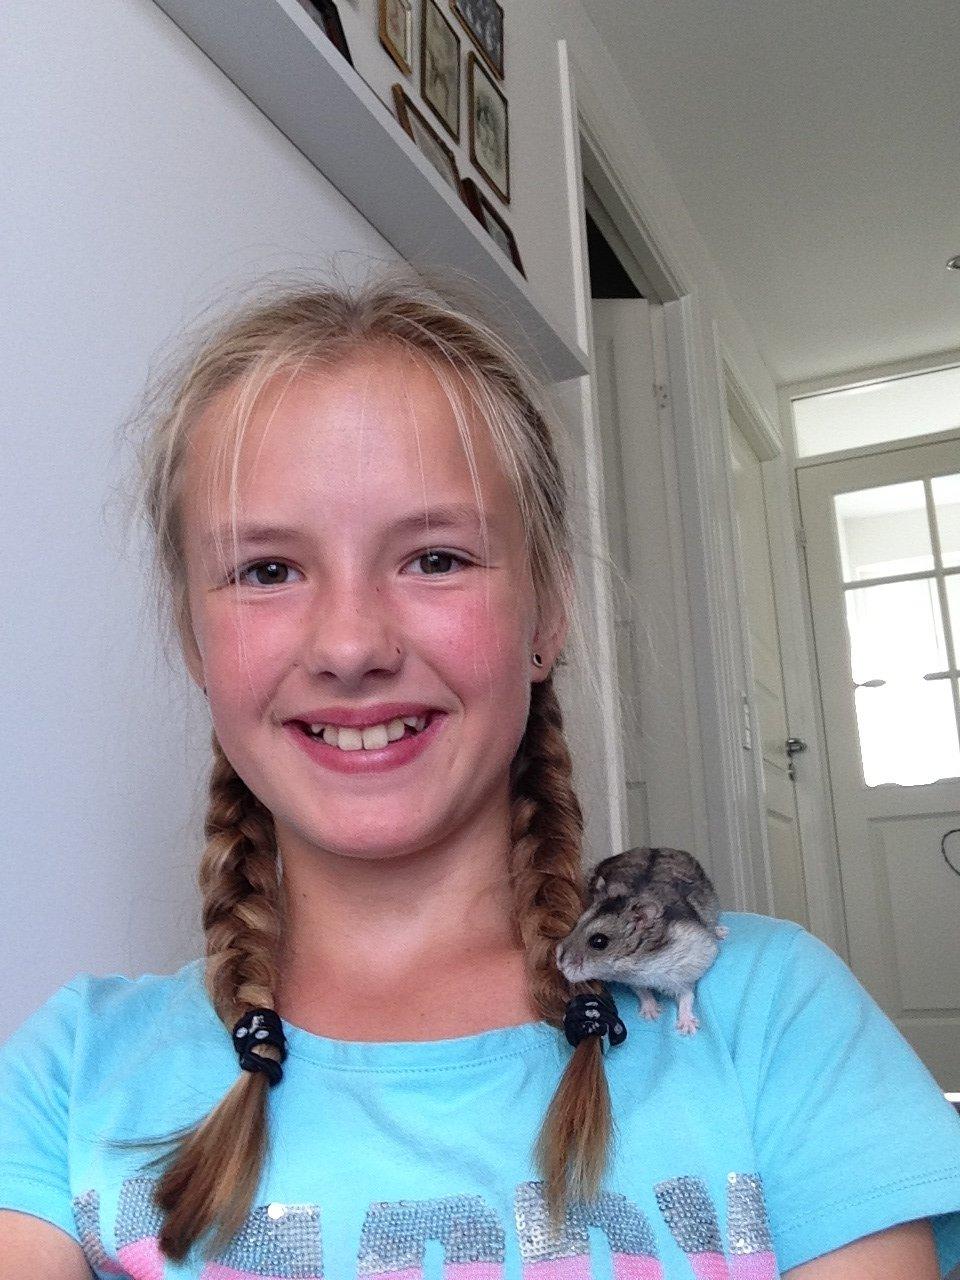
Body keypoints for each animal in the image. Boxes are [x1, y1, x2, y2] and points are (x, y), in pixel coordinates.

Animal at [555, 846, 728, 1035]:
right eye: (575, 924)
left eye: (598, 942)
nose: (559, 963)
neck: (639, 964)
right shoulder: (635, 981)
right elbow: (643, 992)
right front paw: (651, 1015)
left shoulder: (688, 967)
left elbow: (686, 995)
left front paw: (687, 1029)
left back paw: (722, 931)